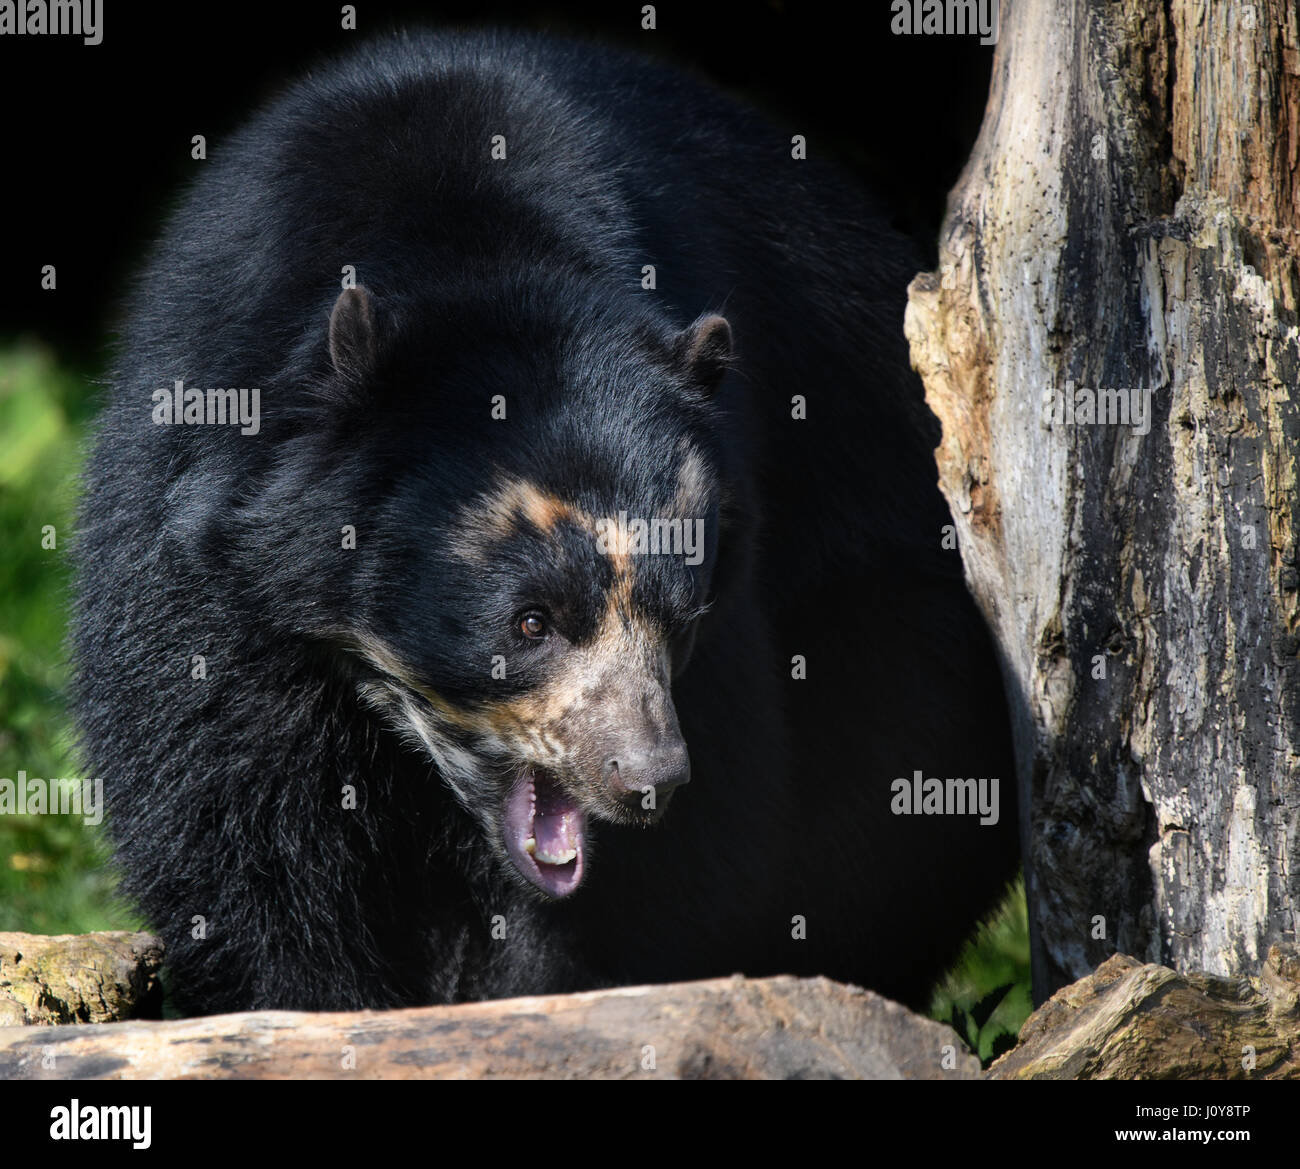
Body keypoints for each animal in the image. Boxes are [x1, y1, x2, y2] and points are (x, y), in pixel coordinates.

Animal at [72, 30, 1018, 1016]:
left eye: (680, 618)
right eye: (530, 623)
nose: (645, 780)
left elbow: (683, 866)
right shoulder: (205, 550)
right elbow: (233, 813)